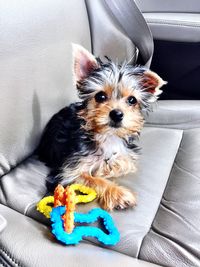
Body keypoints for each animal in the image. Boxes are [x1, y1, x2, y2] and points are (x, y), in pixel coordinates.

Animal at [37, 44, 166, 211]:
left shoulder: (126, 157)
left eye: (132, 100)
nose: (117, 114)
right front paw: (118, 193)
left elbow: (121, 164)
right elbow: (90, 179)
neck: (107, 136)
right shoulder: (66, 173)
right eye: (100, 96)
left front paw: (106, 169)